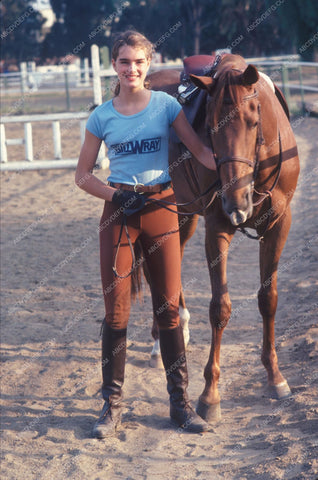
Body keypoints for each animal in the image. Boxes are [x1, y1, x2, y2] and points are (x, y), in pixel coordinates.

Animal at [145, 53, 300, 420]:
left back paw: (180, 325)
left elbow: (268, 298)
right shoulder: (217, 227)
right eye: (210, 128)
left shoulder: (279, 224)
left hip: (183, 215)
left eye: (254, 121)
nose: (236, 200)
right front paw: (209, 395)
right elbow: (220, 308)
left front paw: (275, 377)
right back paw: (159, 341)